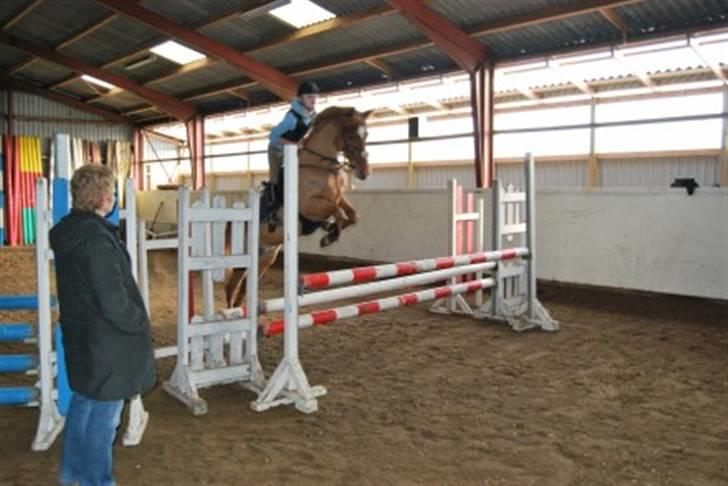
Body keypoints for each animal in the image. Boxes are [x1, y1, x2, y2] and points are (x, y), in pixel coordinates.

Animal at [225, 106, 372, 308]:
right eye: (350, 135)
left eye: (366, 134)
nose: (364, 172)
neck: (320, 167)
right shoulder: (309, 207)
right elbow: (339, 213)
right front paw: (329, 237)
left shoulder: (338, 198)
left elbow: (352, 215)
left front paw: (329, 230)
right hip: (244, 256)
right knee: (232, 286)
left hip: (265, 257)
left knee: (244, 286)